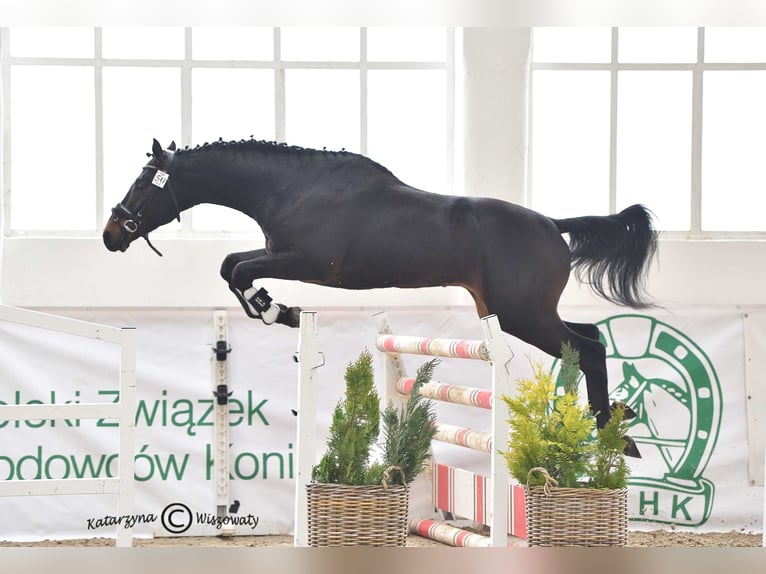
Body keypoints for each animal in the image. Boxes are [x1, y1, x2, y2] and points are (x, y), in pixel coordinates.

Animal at [103, 138, 657, 456]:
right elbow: (230, 265)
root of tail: (552, 224)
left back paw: (614, 432)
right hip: (520, 312)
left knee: (589, 347)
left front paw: (279, 311)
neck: (291, 187)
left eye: (143, 183)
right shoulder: (278, 253)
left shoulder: (307, 263)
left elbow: (238, 269)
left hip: (521, 314)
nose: (111, 235)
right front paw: (277, 310)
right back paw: (606, 421)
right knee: (584, 338)